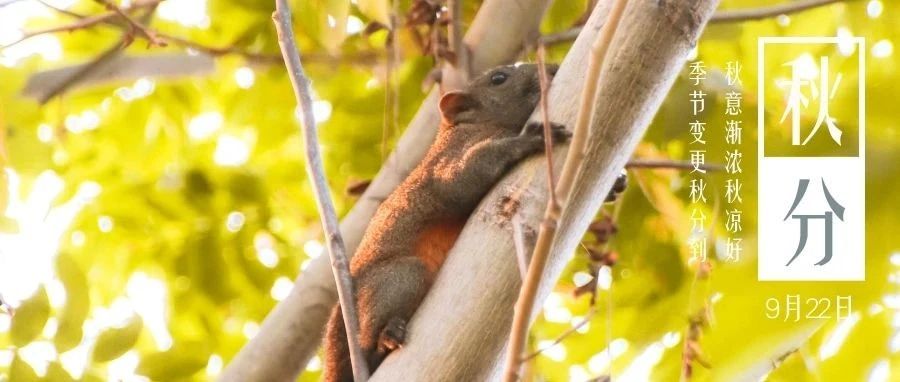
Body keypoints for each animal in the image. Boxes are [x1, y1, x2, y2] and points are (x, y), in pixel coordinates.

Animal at [320, 62, 568, 380]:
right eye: (498, 79)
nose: (553, 67)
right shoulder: (449, 161)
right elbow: (461, 179)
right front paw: (530, 140)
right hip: (399, 277)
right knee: (367, 341)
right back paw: (386, 337)